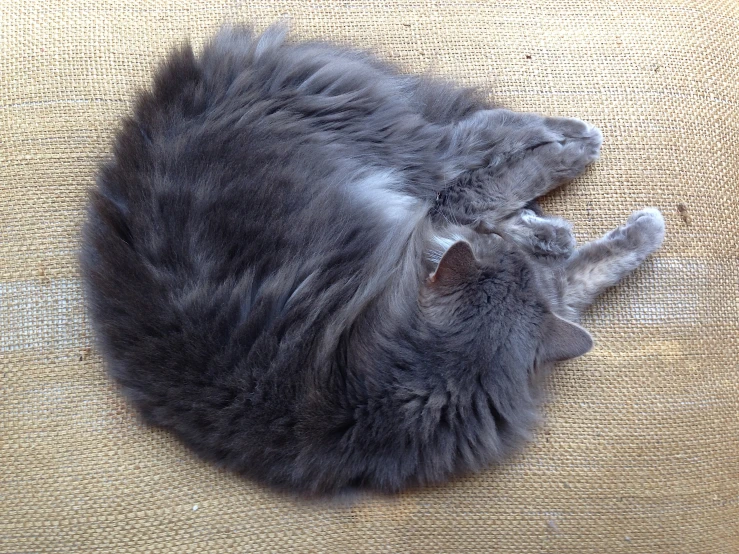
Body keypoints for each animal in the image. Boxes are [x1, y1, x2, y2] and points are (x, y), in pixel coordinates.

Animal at [81, 24, 664, 492]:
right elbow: (547, 245)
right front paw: (606, 227)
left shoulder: (539, 290)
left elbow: (586, 263)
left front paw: (631, 229)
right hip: (396, 155)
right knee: (472, 162)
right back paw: (572, 154)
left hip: (390, 147)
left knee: (477, 146)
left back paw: (567, 152)